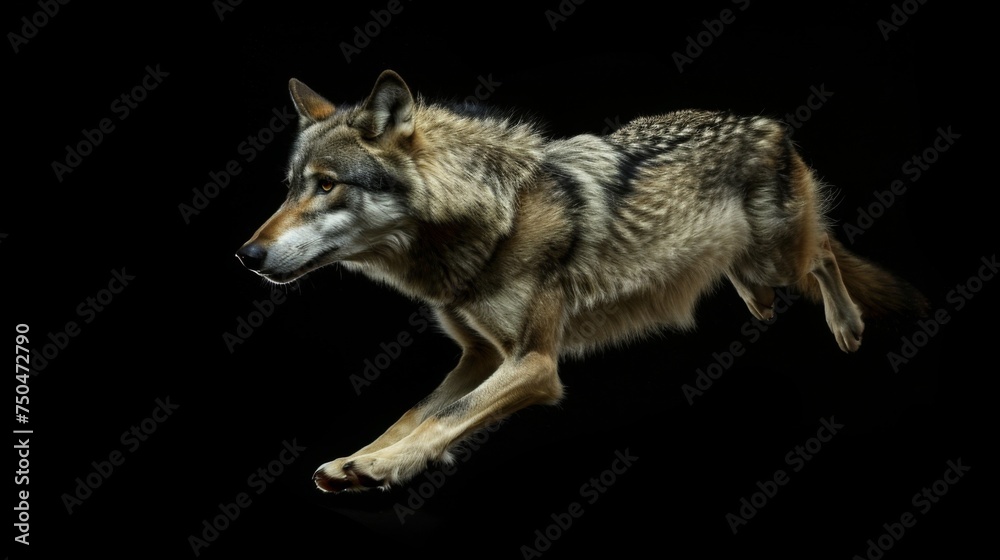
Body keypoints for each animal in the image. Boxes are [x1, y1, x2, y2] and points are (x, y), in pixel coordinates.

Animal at [236, 70, 927, 493]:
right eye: (291, 186)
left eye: (328, 185)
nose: (245, 254)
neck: (497, 218)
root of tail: (763, 121)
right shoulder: (479, 355)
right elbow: (416, 411)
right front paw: (362, 457)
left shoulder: (534, 363)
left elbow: (450, 413)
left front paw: (381, 466)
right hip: (754, 261)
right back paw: (758, 305)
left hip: (779, 255)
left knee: (825, 253)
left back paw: (847, 325)